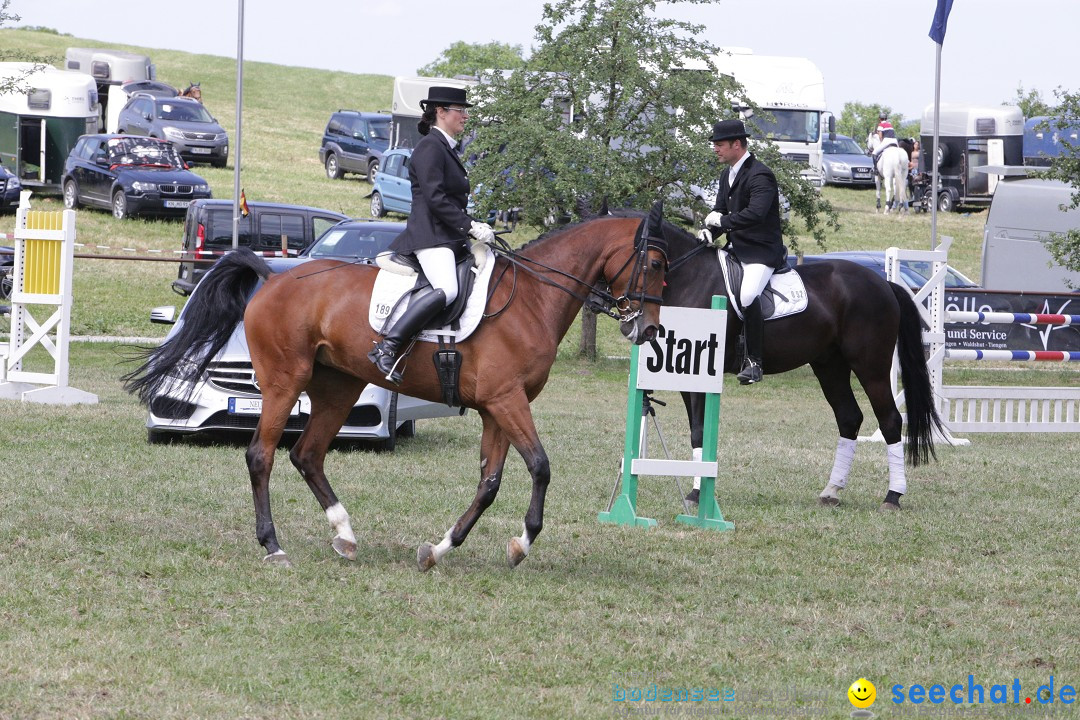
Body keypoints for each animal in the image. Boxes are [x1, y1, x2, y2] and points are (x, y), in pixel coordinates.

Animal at [124, 211, 665, 569]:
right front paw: (521, 544)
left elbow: (489, 482)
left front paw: (440, 548)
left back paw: (344, 534)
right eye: (656, 264)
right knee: (263, 454)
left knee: (308, 454)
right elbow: (540, 467)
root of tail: (272, 279)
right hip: (284, 381)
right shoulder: (506, 400)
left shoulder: (497, 407)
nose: (647, 330)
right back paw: (273, 545)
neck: (531, 298)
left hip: (339, 387)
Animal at [626, 213, 937, 511]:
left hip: (870, 365)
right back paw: (831, 491)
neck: (691, 277)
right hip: (830, 365)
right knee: (849, 417)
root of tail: (882, 282)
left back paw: (892, 496)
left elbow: (700, 430)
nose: (632, 319)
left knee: (890, 420)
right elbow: (696, 431)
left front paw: (696, 494)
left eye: (653, 263)